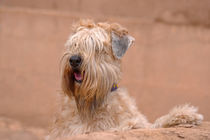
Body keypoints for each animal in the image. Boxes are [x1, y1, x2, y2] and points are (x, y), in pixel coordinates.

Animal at [46, 19, 203, 140]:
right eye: (74, 45)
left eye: (96, 47)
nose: (74, 60)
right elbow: (122, 127)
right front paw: (132, 125)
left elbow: (152, 124)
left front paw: (184, 114)